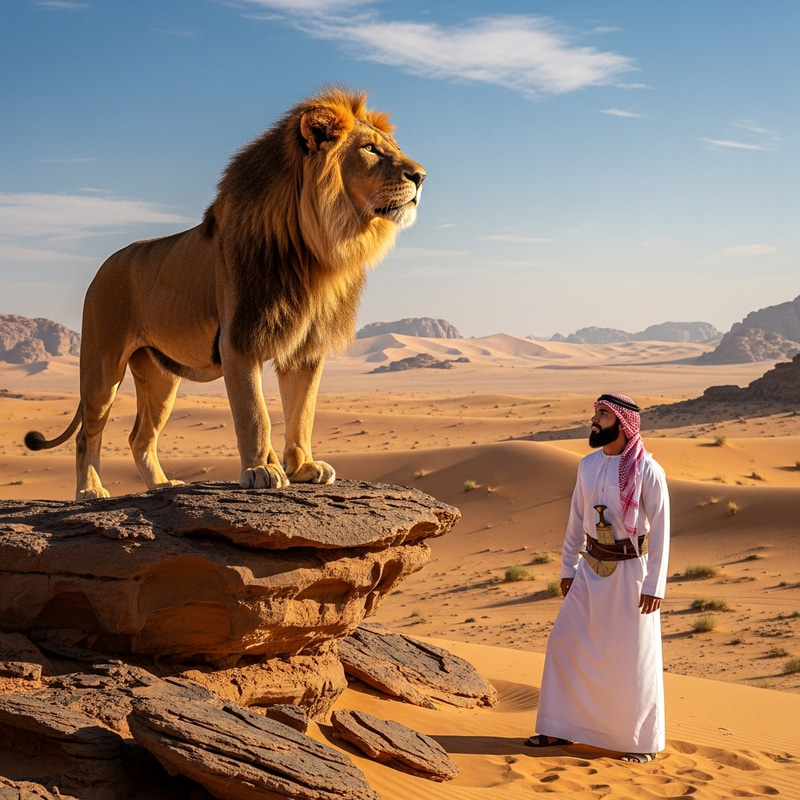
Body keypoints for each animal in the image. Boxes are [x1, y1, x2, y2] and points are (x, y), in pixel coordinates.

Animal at [25, 87, 425, 500]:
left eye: (392, 147)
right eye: (370, 149)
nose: (421, 176)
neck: (318, 250)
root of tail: (103, 267)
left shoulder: (306, 349)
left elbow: (302, 412)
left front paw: (301, 468)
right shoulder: (239, 339)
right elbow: (255, 415)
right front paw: (260, 471)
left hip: (159, 377)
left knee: (140, 437)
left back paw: (162, 485)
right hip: (102, 368)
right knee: (88, 434)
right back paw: (90, 491)